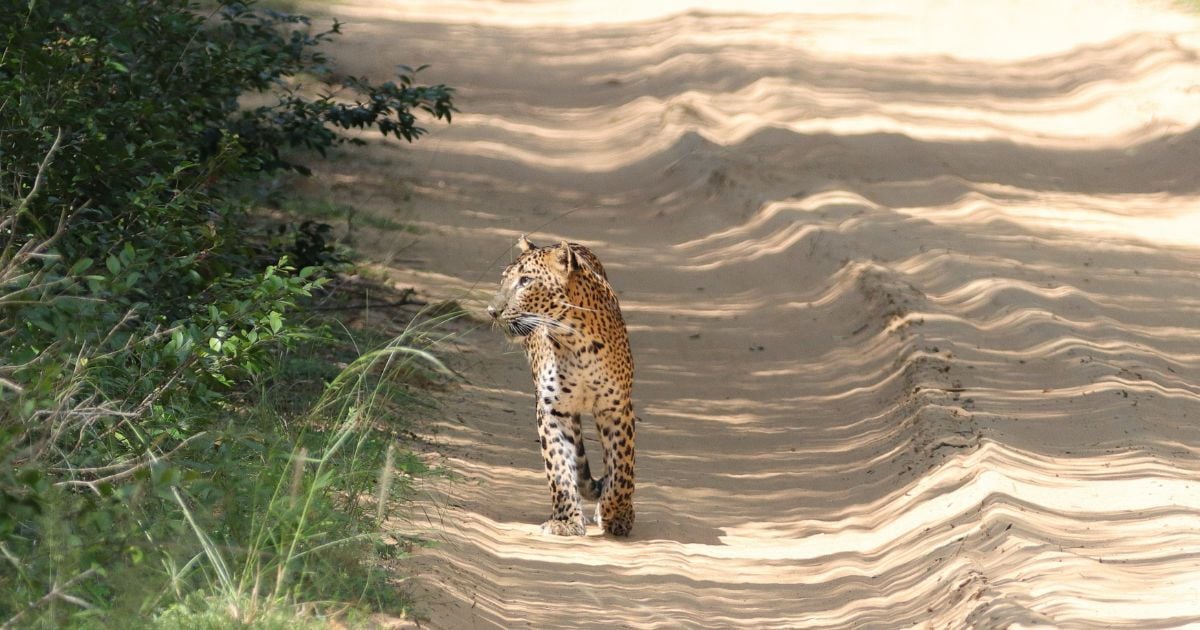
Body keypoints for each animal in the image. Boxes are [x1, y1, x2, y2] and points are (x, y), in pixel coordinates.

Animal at [487, 235, 636, 536]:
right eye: (504, 279)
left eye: (525, 281)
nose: (492, 311)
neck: (575, 342)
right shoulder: (552, 410)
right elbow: (557, 466)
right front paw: (566, 520)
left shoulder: (615, 408)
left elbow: (622, 468)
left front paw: (616, 514)